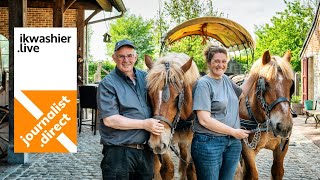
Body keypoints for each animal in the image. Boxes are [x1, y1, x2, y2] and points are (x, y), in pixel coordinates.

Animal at [232, 50, 296, 180]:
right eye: (265, 84)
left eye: (291, 84)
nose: (284, 126)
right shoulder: (246, 147)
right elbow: (252, 174)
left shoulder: (283, 145)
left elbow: (277, 171)